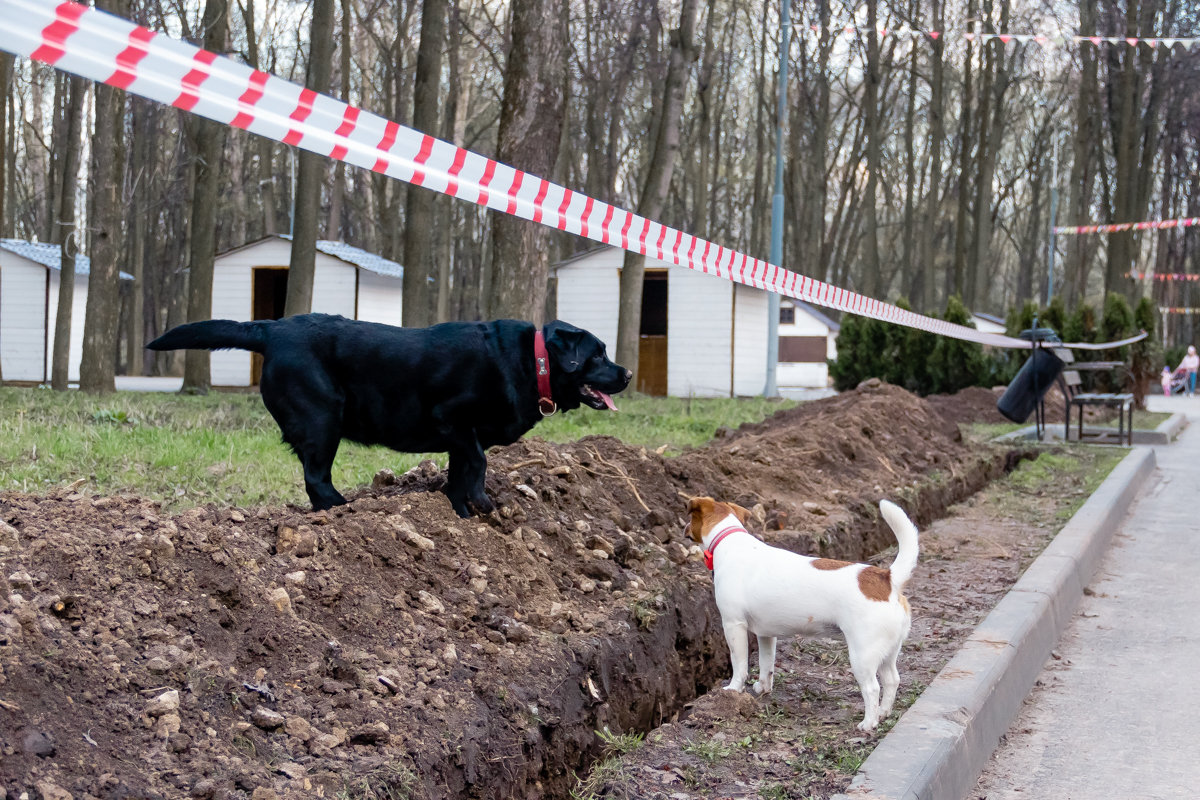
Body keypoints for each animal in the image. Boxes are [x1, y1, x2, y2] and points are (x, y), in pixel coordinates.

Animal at [146, 316, 633, 515]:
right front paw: (481, 503)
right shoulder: (451, 419)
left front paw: (462, 511)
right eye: (598, 355)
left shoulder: (459, 438)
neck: (534, 363)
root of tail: (271, 328)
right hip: (323, 419)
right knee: (316, 478)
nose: (627, 373)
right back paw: (343, 509)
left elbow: (461, 473)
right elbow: (479, 462)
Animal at [686, 496, 916, 734]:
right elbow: (766, 664)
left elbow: (739, 664)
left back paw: (868, 723)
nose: (684, 529)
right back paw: (883, 713)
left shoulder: (733, 625)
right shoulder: (766, 635)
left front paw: (733, 691)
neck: (731, 541)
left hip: (862, 655)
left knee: (872, 688)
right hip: (888, 651)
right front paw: (763, 688)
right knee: (892, 680)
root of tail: (886, 578)